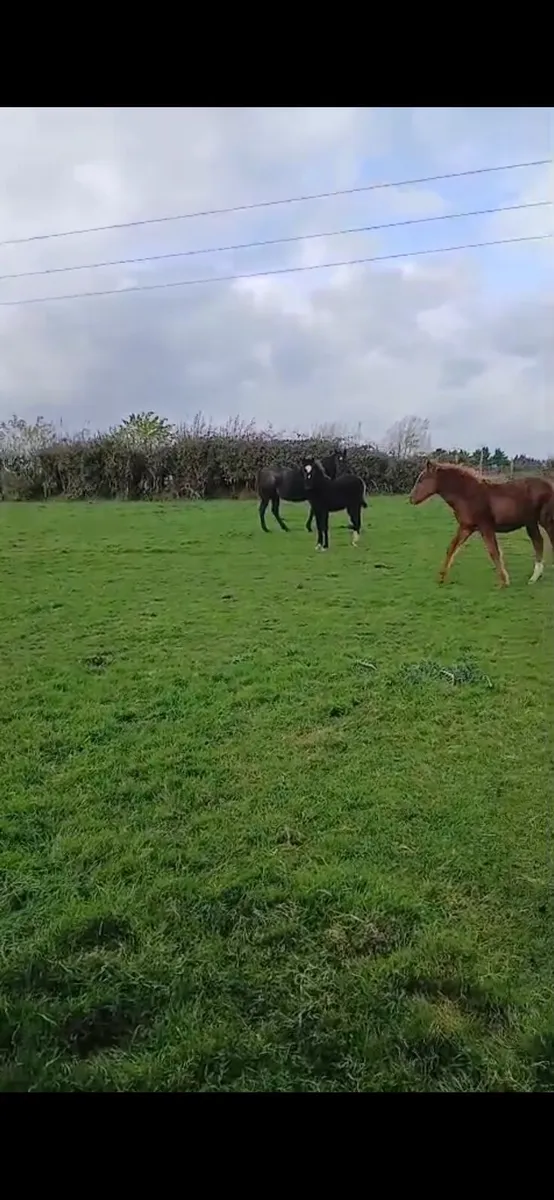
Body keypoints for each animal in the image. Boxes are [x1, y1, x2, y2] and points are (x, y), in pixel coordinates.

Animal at [409, 459, 554, 588]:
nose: (411, 499)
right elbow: (451, 548)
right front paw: (441, 577)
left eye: (421, 480)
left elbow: (494, 552)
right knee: (538, 542)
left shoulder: (486, 527)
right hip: (531, 523)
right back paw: (534, 578)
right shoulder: (466, 527)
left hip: (545, 521)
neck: (467, 495)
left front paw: (504, 582)